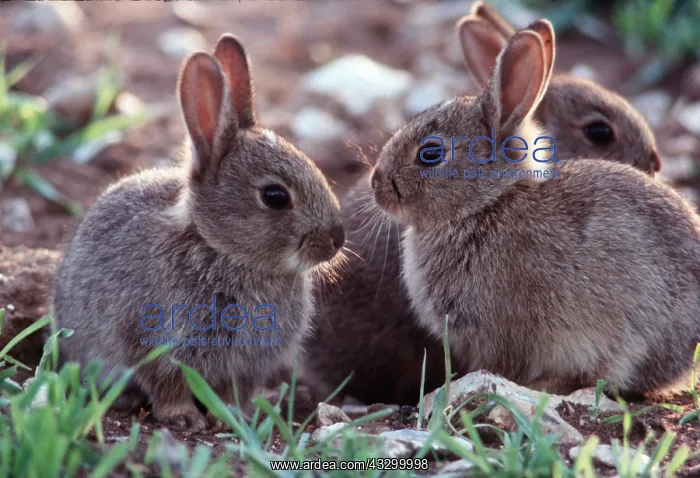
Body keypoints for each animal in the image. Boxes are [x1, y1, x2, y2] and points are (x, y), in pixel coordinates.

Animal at [51, 34, 345, 432]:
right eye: (275, 196)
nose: (336, 239)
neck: (220, 249)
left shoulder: (247, 363)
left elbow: (231, 391)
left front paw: (231, 417)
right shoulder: (155, 339)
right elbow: (167, 383)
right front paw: (184, 418)